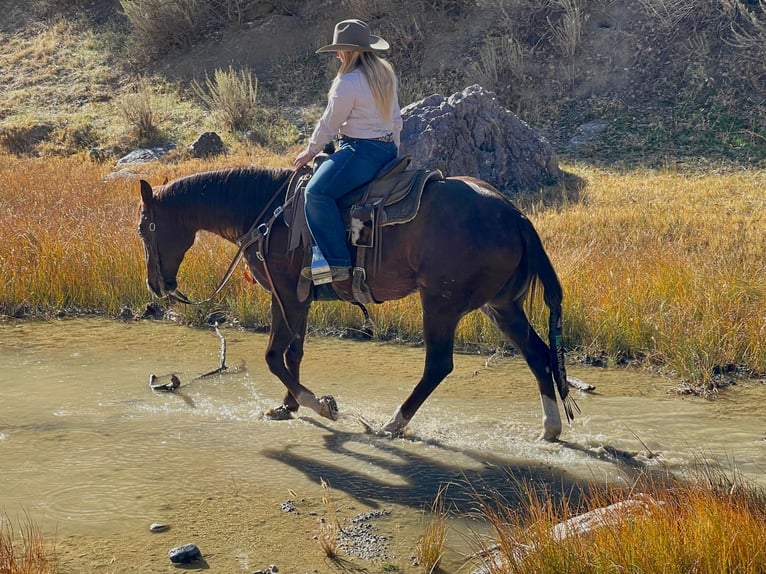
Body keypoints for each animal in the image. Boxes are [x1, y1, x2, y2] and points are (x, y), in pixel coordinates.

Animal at [140, 164, 584, 444]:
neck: (267, 214)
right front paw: (286, 406)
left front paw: (319, 405)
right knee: (537, 353)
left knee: (439, 365)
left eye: (145, 228)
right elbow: (292, 352)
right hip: (501, 305)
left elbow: (273, 356)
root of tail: (515, 216)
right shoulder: (293, 297)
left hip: (440, 303)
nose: (156, 285)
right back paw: (550, 428)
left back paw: (392, 423)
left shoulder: (285, 292)